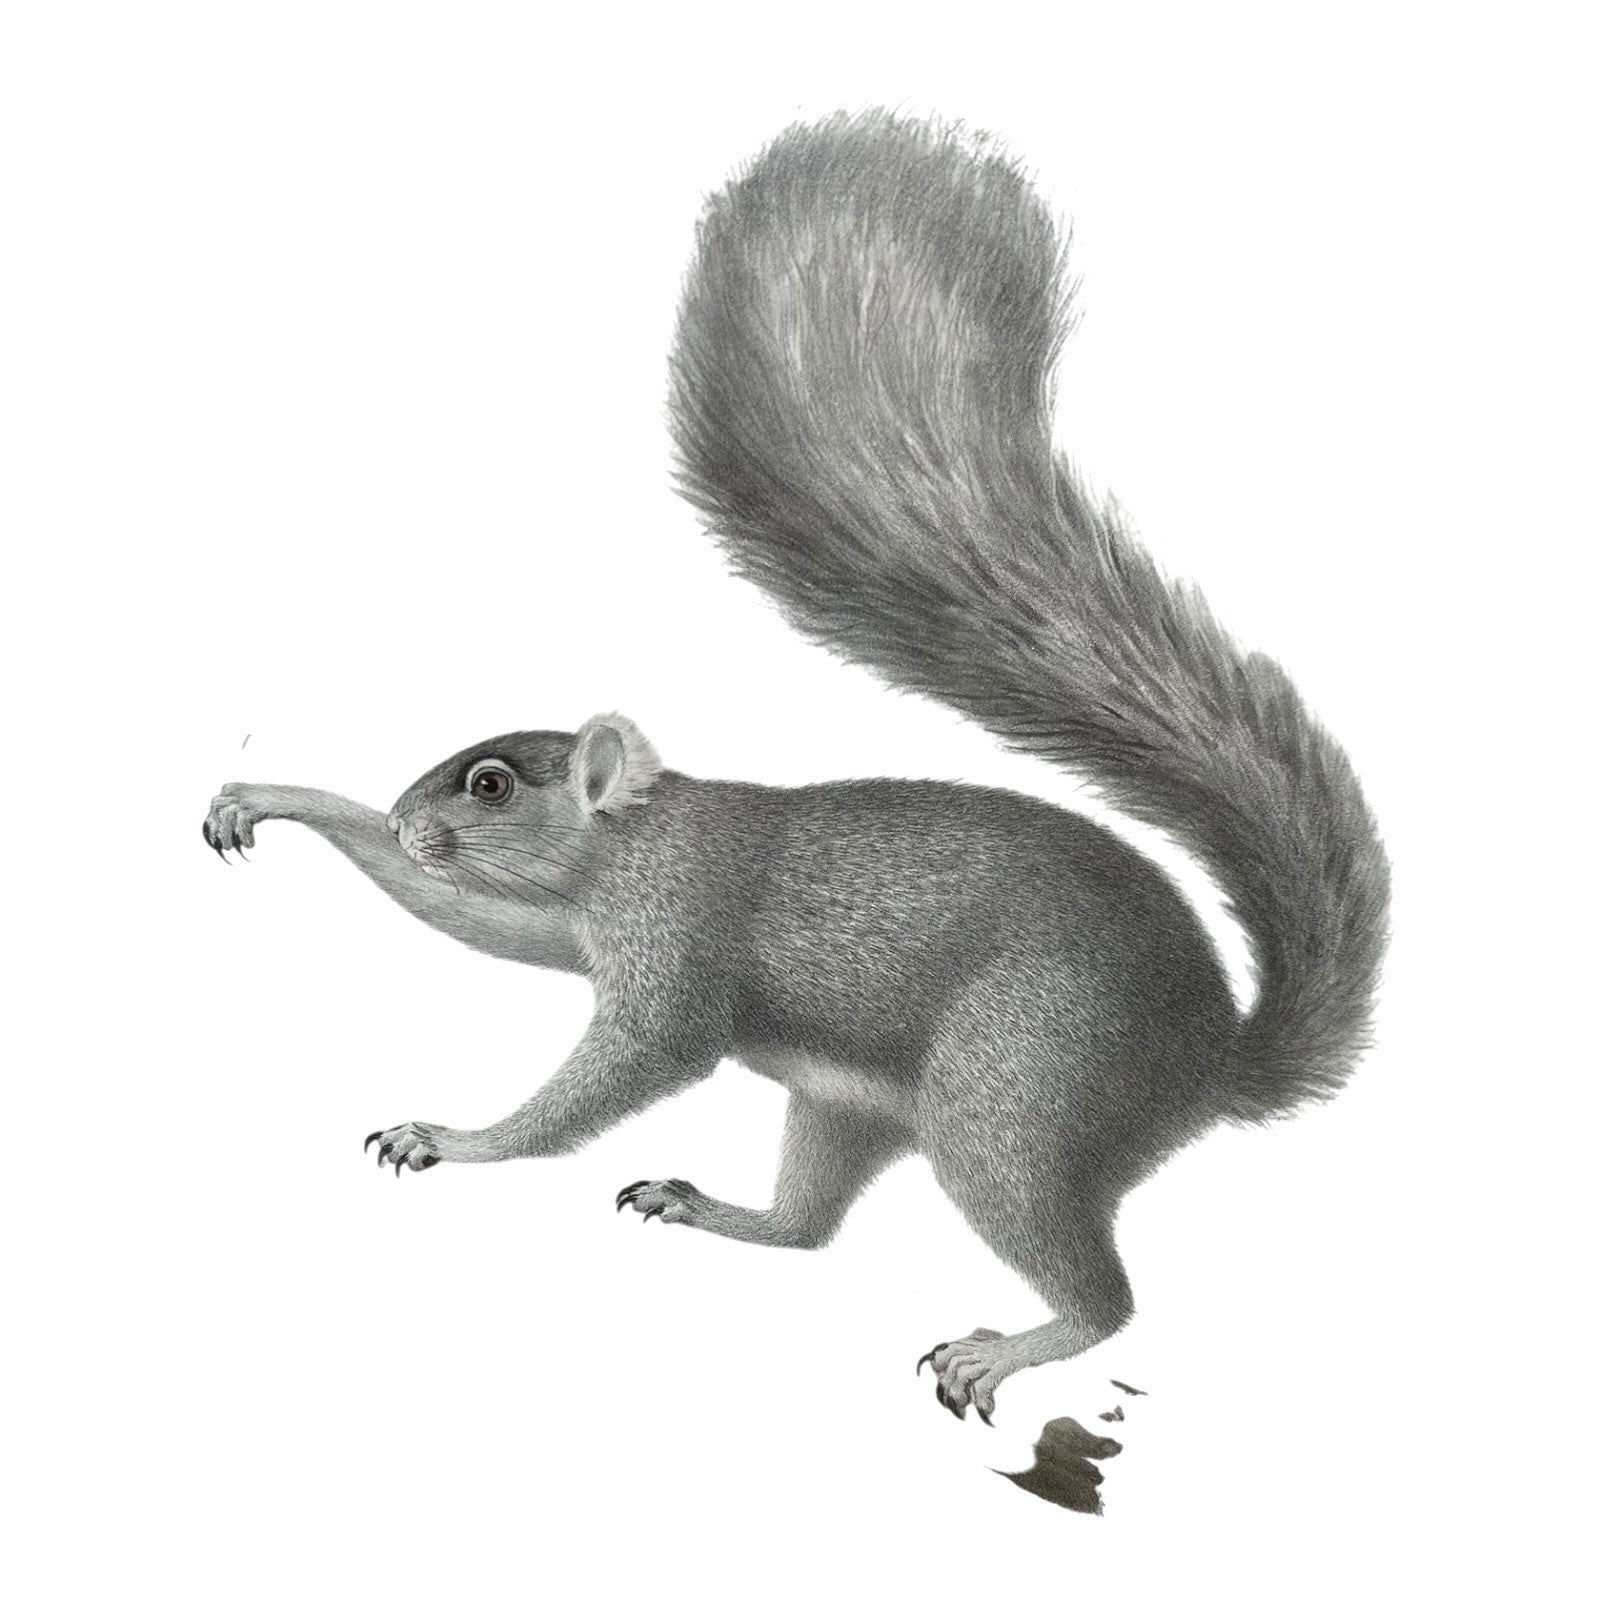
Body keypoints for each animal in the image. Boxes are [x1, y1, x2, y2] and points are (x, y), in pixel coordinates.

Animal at [202, 110, 1389, 1423]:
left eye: (495, 782)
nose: (415, 814)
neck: (639, 835)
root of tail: (1208, 1065)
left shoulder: (674, 926)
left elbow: (625, 1062)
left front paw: (458, 1138)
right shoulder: (576, 922)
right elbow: (469, 918)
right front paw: (272, 797)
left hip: (1016, 1088)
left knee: (1103, 1294)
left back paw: (1006, 1346)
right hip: (847, 1104)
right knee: (807, 1231)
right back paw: (709, 1205)